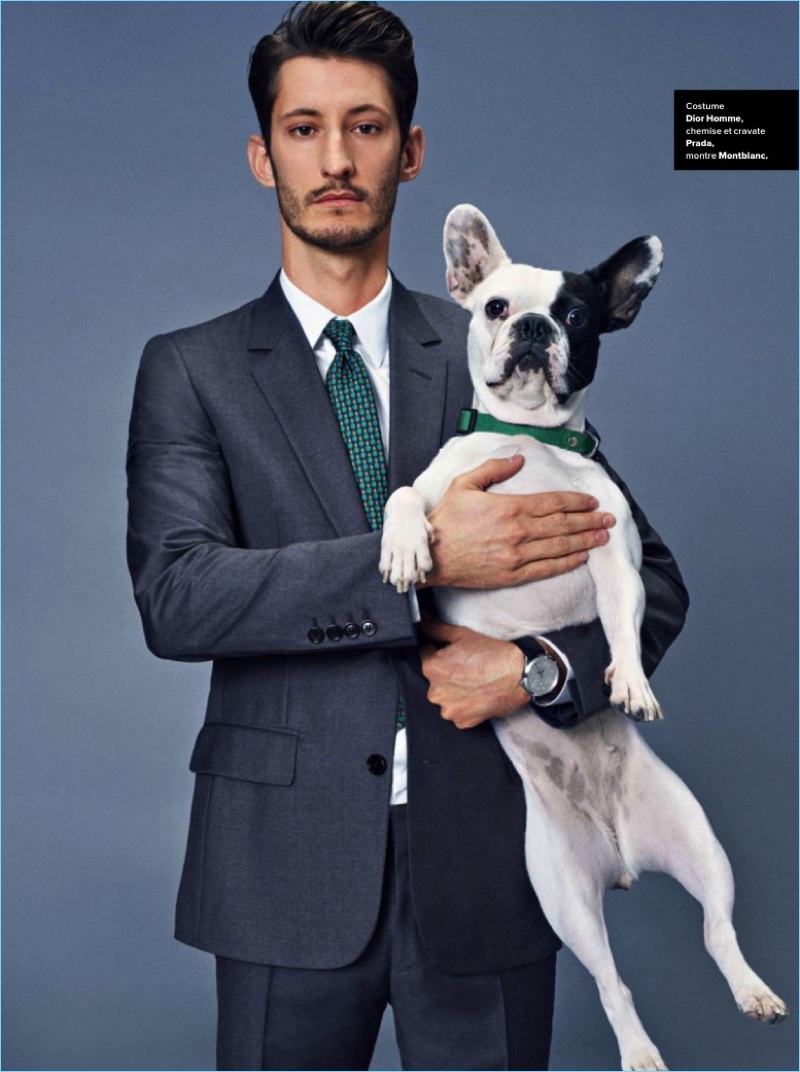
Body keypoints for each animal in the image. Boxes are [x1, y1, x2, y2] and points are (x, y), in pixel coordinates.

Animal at [379, 206, 784, 1072]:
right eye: (497, 307)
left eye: (576, 316)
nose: (533, 326)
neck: (530, 443)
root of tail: (622, 861)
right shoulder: (441, 497)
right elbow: (404, 496)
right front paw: (401, 549)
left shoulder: (615, 552)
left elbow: (628, 615)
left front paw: (629, 680)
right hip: (562, 892)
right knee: (611, 981)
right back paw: (639, 1048)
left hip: (700, 843)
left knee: (717, 929)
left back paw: (749, 993)